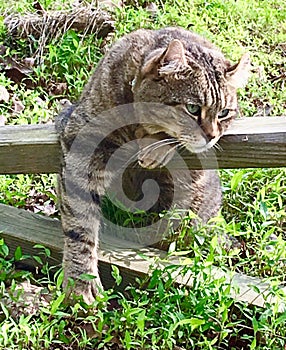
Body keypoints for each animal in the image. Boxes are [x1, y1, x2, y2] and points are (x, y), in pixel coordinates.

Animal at [55, 26, 250, 304]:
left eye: (224, 113)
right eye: (193, 108)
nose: (212, 136)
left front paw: (156, 146)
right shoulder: (83, 145)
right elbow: (80, 223)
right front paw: (81, 280)